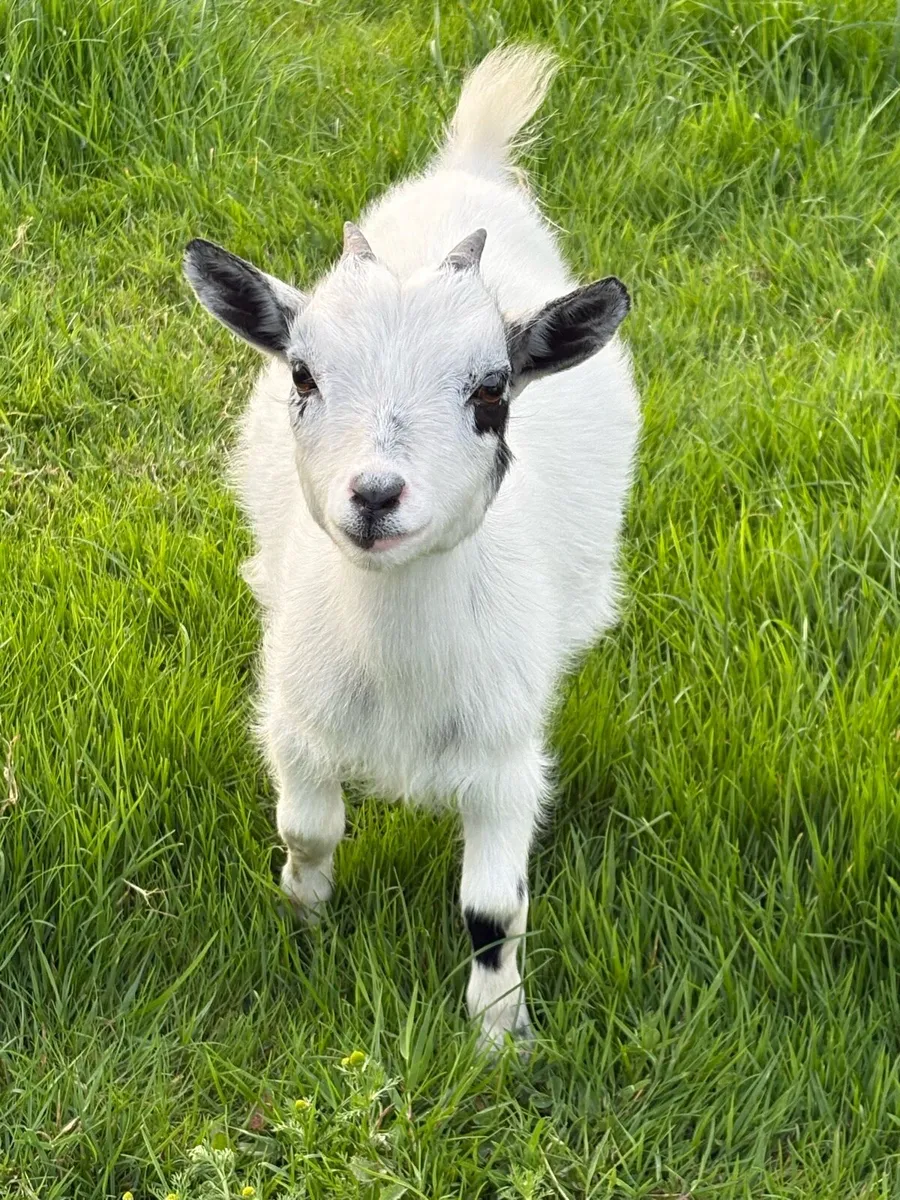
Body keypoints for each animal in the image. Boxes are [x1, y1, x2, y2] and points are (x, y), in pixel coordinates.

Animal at [183, 45, 640, 1050]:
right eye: (303, 376)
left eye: (492, 393)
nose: (375, 496)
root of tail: (469, 168)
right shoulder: (295, 720)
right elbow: (308, 830)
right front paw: (304, 924)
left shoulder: (506, 760)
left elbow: (492, 908)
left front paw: (500, 1037)